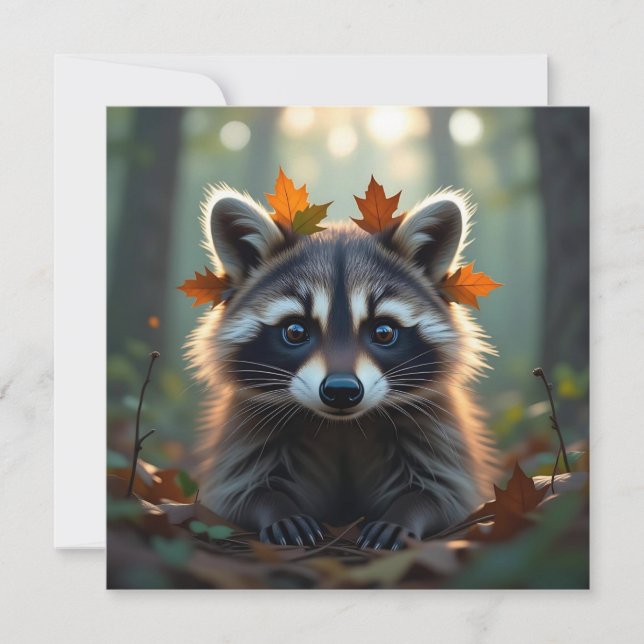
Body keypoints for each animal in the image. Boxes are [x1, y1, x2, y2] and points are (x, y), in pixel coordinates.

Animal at [186, 184, 498, 550]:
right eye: (295, 331)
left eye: (383, 332)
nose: (341, 391)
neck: (343, 426)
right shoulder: (249, 429)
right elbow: (240, 491)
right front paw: (278, 510)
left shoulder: (436, 427)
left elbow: (445, 494)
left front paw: (404, 515)